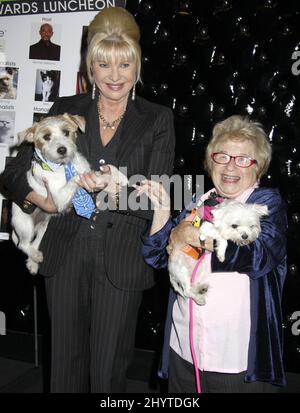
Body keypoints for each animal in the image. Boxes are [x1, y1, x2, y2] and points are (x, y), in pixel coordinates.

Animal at [11, 113, 127, 274]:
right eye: (46, 136)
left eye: (66, 132)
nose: (62, 150)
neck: (64, 166)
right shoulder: (58, 198)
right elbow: (78, 177)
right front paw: (96, 179)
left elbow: (102, 170)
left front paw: (118, 176)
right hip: (24, 224)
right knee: (23, 244)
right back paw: (36, 256)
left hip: (43, 226)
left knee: (34, 243)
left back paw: (33, 262)